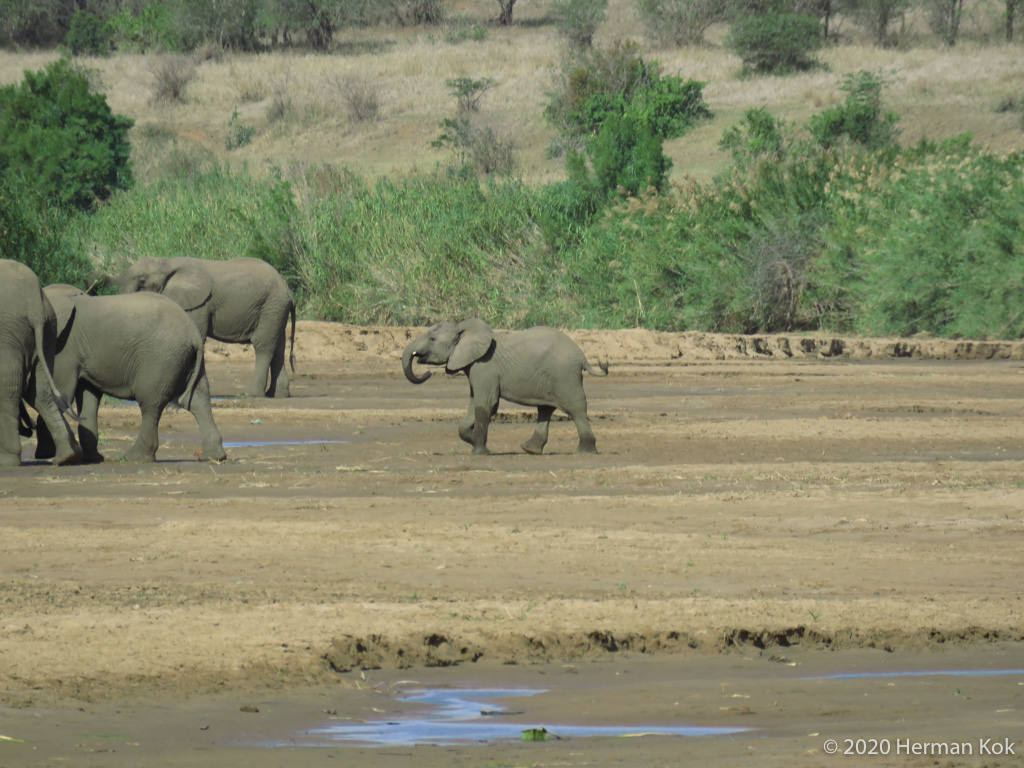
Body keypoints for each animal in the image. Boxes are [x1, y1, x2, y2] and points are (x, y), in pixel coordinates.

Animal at [0, 260, 81, 467]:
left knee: (9, 388)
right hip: (49, 330)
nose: (30, 429)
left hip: (8, 331)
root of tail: (34, 301)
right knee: (39, 392)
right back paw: (68, 456)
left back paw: (7, 461)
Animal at [33, 285, 226, 463]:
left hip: (160, 358)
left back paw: (135, 457)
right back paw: (213, 456)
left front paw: (45, 454)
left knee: (150, 403)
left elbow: (61, 392)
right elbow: (88, 396)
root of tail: (193, 332)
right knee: (198, 399)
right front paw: (92, 458)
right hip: (185, 359)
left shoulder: (65, 347)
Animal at [110, 256, 296, 398]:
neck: (166, 262)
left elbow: (198, 336)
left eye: (142, 281)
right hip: (276, 308)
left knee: (263, 344)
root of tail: (287, 289)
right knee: (278, 346)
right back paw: (277, 395)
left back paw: (251, 394)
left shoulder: (198, 304)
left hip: (271, 305)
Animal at [402, 318, 608, 455]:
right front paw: (472, 439)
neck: (464, 329)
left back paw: (585, 452)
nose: (427, 373)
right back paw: (530, 450)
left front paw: (479, 452)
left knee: (576, 409)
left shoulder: (484, 367)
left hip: (564, 376)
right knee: (545, 409)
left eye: (432, 340)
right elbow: (474, 403)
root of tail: (582, 357)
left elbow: (486, 404)